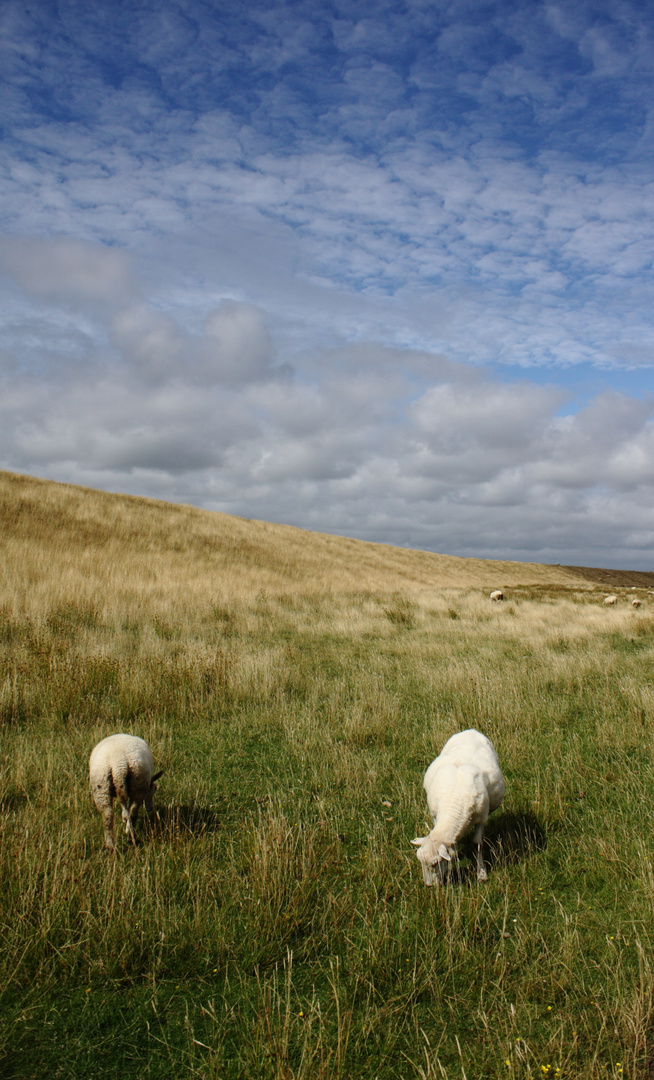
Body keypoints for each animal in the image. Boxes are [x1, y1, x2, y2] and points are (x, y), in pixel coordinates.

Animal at [410, 725, 507, 885]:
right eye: (421, 862)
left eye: (435, 863)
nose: (429, 886)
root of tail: (470, 730)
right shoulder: (435, 815)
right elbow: (451, 849)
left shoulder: (482, 819)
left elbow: (477, 844)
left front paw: (481, 872)